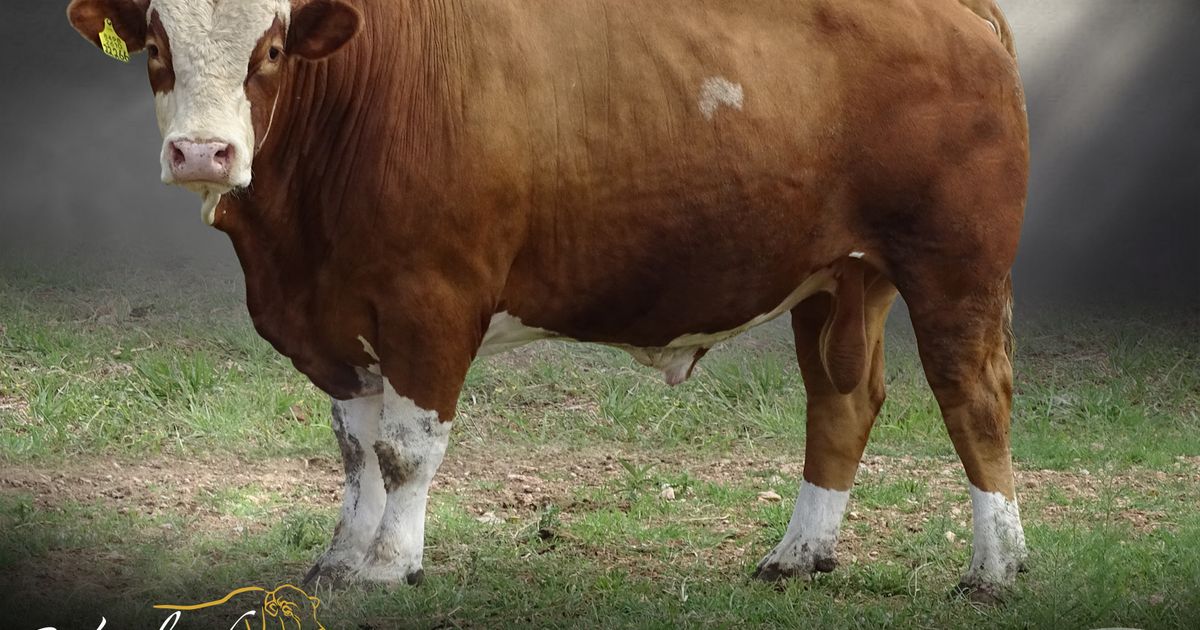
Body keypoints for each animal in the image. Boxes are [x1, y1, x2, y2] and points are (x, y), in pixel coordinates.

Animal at [67, 0, 1029, 602]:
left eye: (269, 50)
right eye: (156, 47)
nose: (203, 152)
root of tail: (960, 13)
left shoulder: (431, 303)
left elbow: (406, 452)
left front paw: (390, 566)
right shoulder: (340, 321)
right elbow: (354, 449)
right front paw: (341, 561)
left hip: (954, 268)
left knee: (973, 398)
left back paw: (994, 567)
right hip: (839, 279)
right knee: (841, 401)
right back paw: (797, 555)